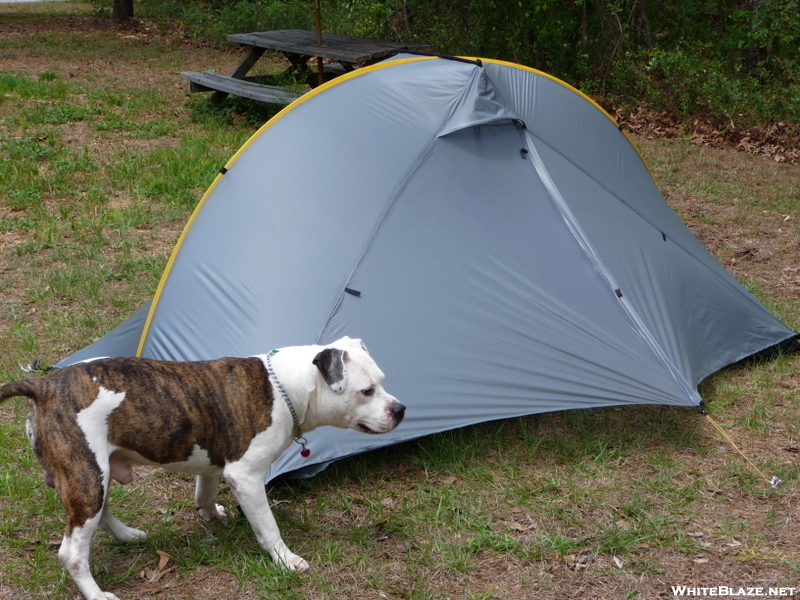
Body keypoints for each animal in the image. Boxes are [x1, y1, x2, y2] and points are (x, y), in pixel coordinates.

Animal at [0, 338, 404, 600]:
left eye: (383, 382)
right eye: (367, 391)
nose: (399, 409)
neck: (285, 388)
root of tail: (44, 384)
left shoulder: (214, 460)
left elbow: (205, 490)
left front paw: (212, 515)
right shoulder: (246, 477)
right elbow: (268, 528)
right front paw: (286, 559)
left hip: (94, 472)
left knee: (100, 513)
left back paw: (128, 535)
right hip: (86, 476)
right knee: (71, 551)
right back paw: (97, 594)